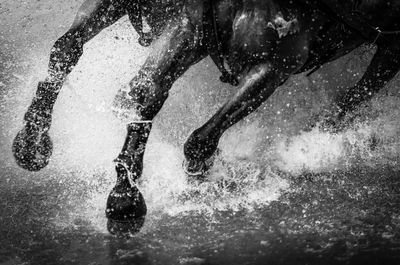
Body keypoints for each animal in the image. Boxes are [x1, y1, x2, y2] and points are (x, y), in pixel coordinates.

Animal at [11, 0, 400, 235]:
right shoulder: (191, 25)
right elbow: (144, 89)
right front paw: (124, 191)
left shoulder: (277, 64)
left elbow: (200, 139)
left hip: (389, 50)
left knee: (357, 95)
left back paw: (318, 140)